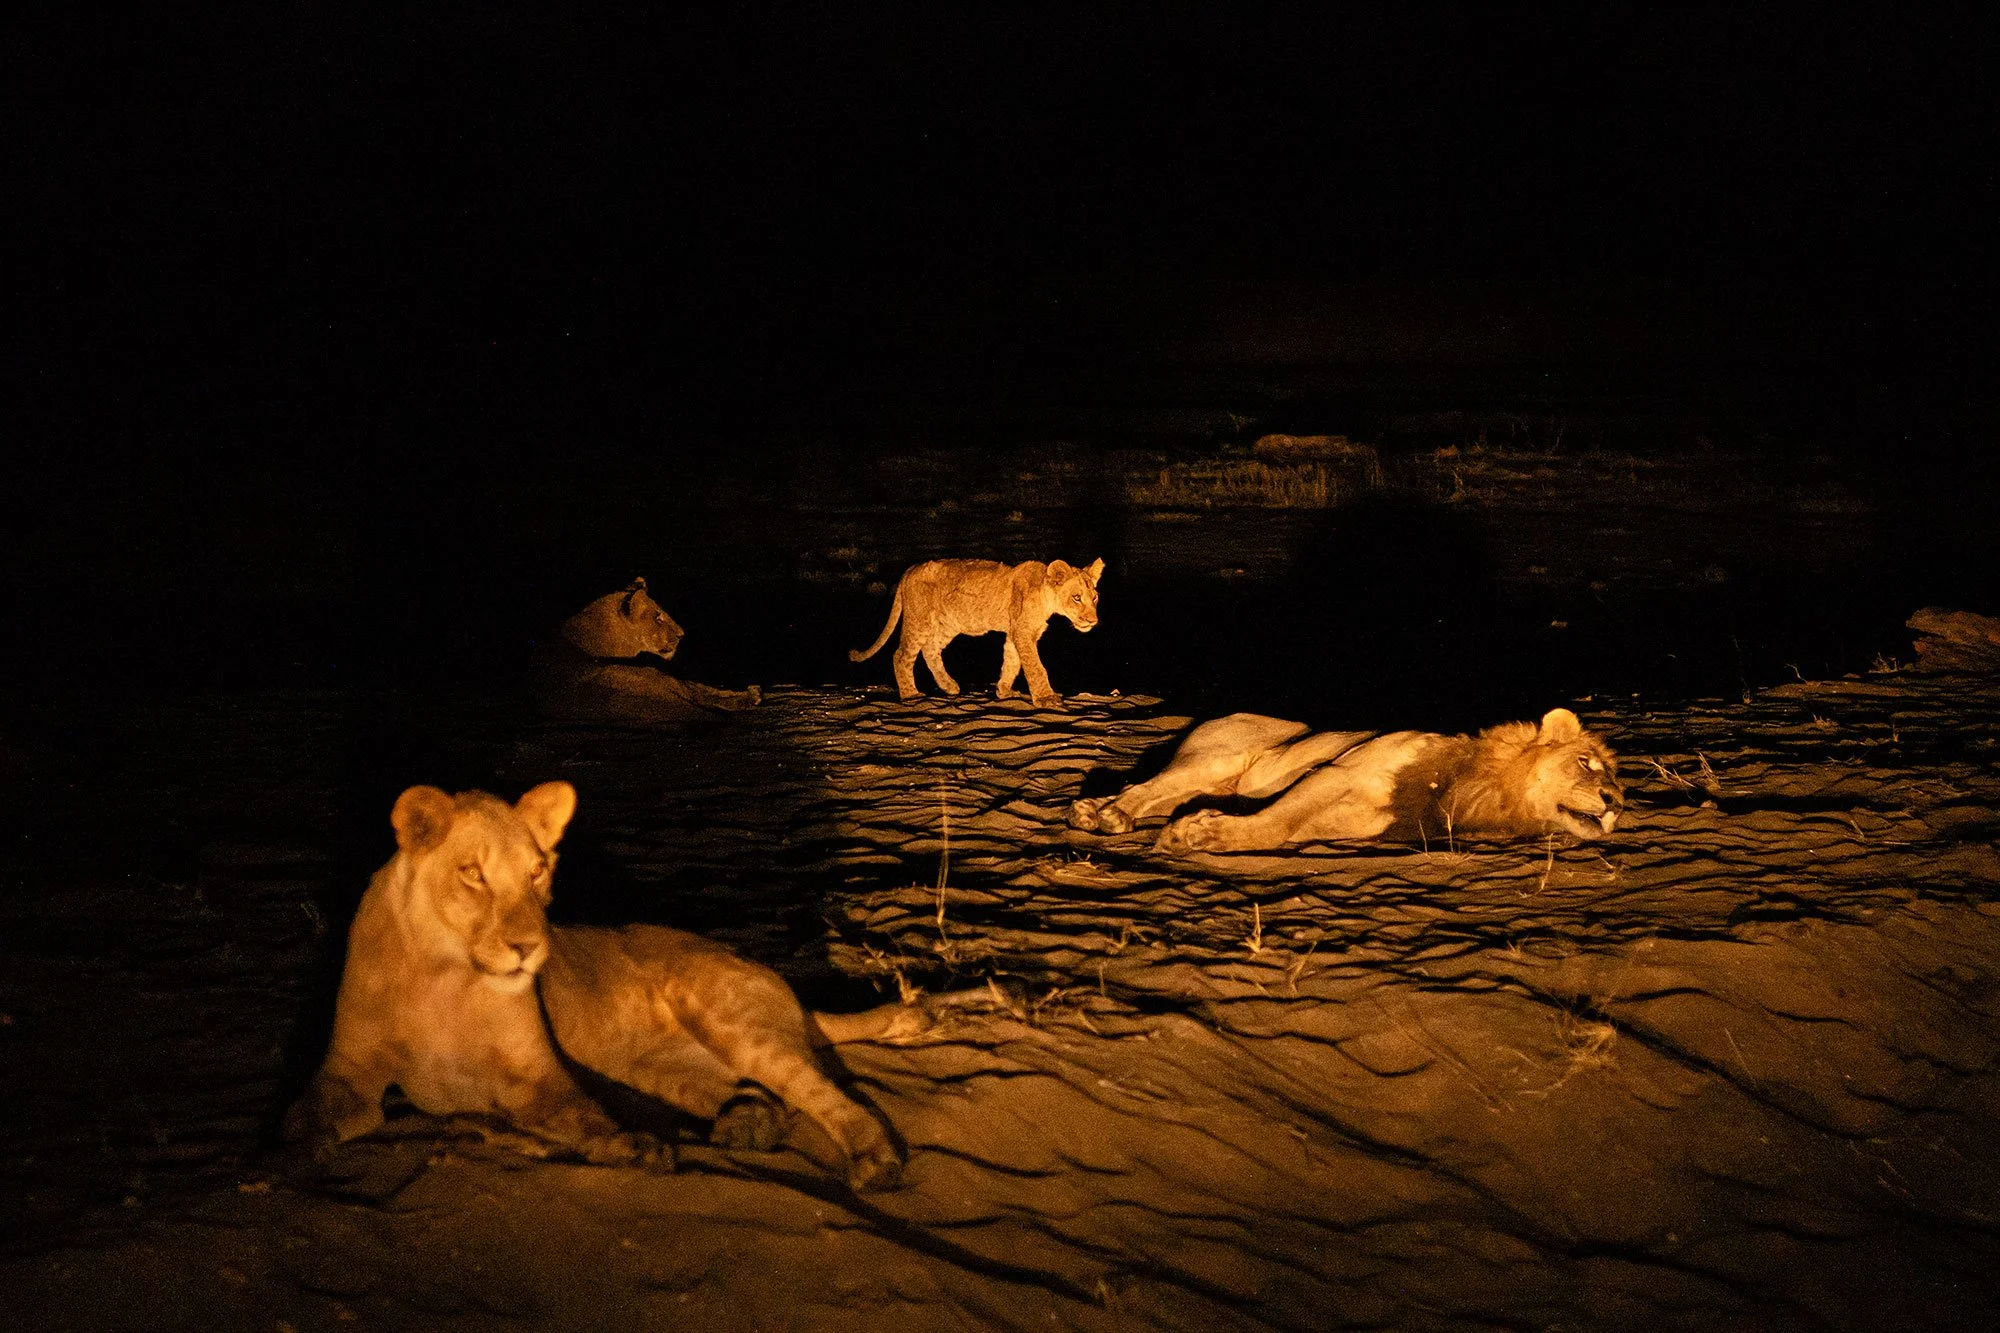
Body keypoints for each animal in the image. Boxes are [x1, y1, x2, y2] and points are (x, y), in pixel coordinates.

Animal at [285, 781, 916, 1189]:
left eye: (537, 870)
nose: (528, 948)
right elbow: (306, 1112)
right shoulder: (351, 1071)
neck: (447, 975)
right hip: (658, 1068)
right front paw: (290, 1156)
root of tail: (766, 971)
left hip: (728, 1016)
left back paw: (875, 1156)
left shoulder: (540, 1077)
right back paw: (746, 1125)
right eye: (473, 873)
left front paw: (633, 1148)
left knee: (821, 1092)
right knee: (762, 1096)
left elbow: (587, 1118)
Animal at [850, 557, 1105, 707]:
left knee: (930, 649)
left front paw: (1004, 691)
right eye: (1076, 598)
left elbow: (1011, 662)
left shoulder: (1016, 633)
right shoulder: (1023, 633)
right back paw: (911, 694)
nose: (1093, 621)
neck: (1046, 597)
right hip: (919, 620)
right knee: (902, 654)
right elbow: (1035, 667)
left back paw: (949, 686)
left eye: (1094, 598)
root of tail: (910, 569)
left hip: (949, 623)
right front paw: (1045, 698)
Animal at [1068, 708, 1625, 853]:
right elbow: (1274, 823)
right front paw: (1202, 833)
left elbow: (1285, 826)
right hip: (1218, 756)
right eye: (1587, 763)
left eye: (1619, 781)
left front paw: (1197, 829)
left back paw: (1095, 811)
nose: (1617, 803)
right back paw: (1107, 815)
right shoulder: (1342, 769)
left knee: (1148, 794)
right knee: (1142, 788)